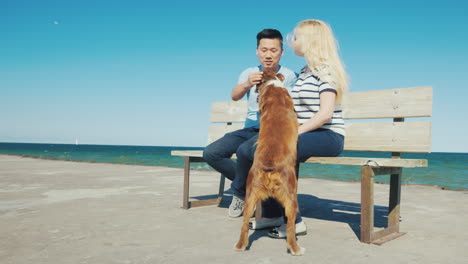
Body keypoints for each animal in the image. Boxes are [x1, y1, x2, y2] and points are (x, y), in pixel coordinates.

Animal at [234, 70, 304, 256]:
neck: (272, 84)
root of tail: (269, 168)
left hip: (250, 195)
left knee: (244, 224)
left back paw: (240, 245)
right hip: (291, 198)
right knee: (290, 227)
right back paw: (296, 249)